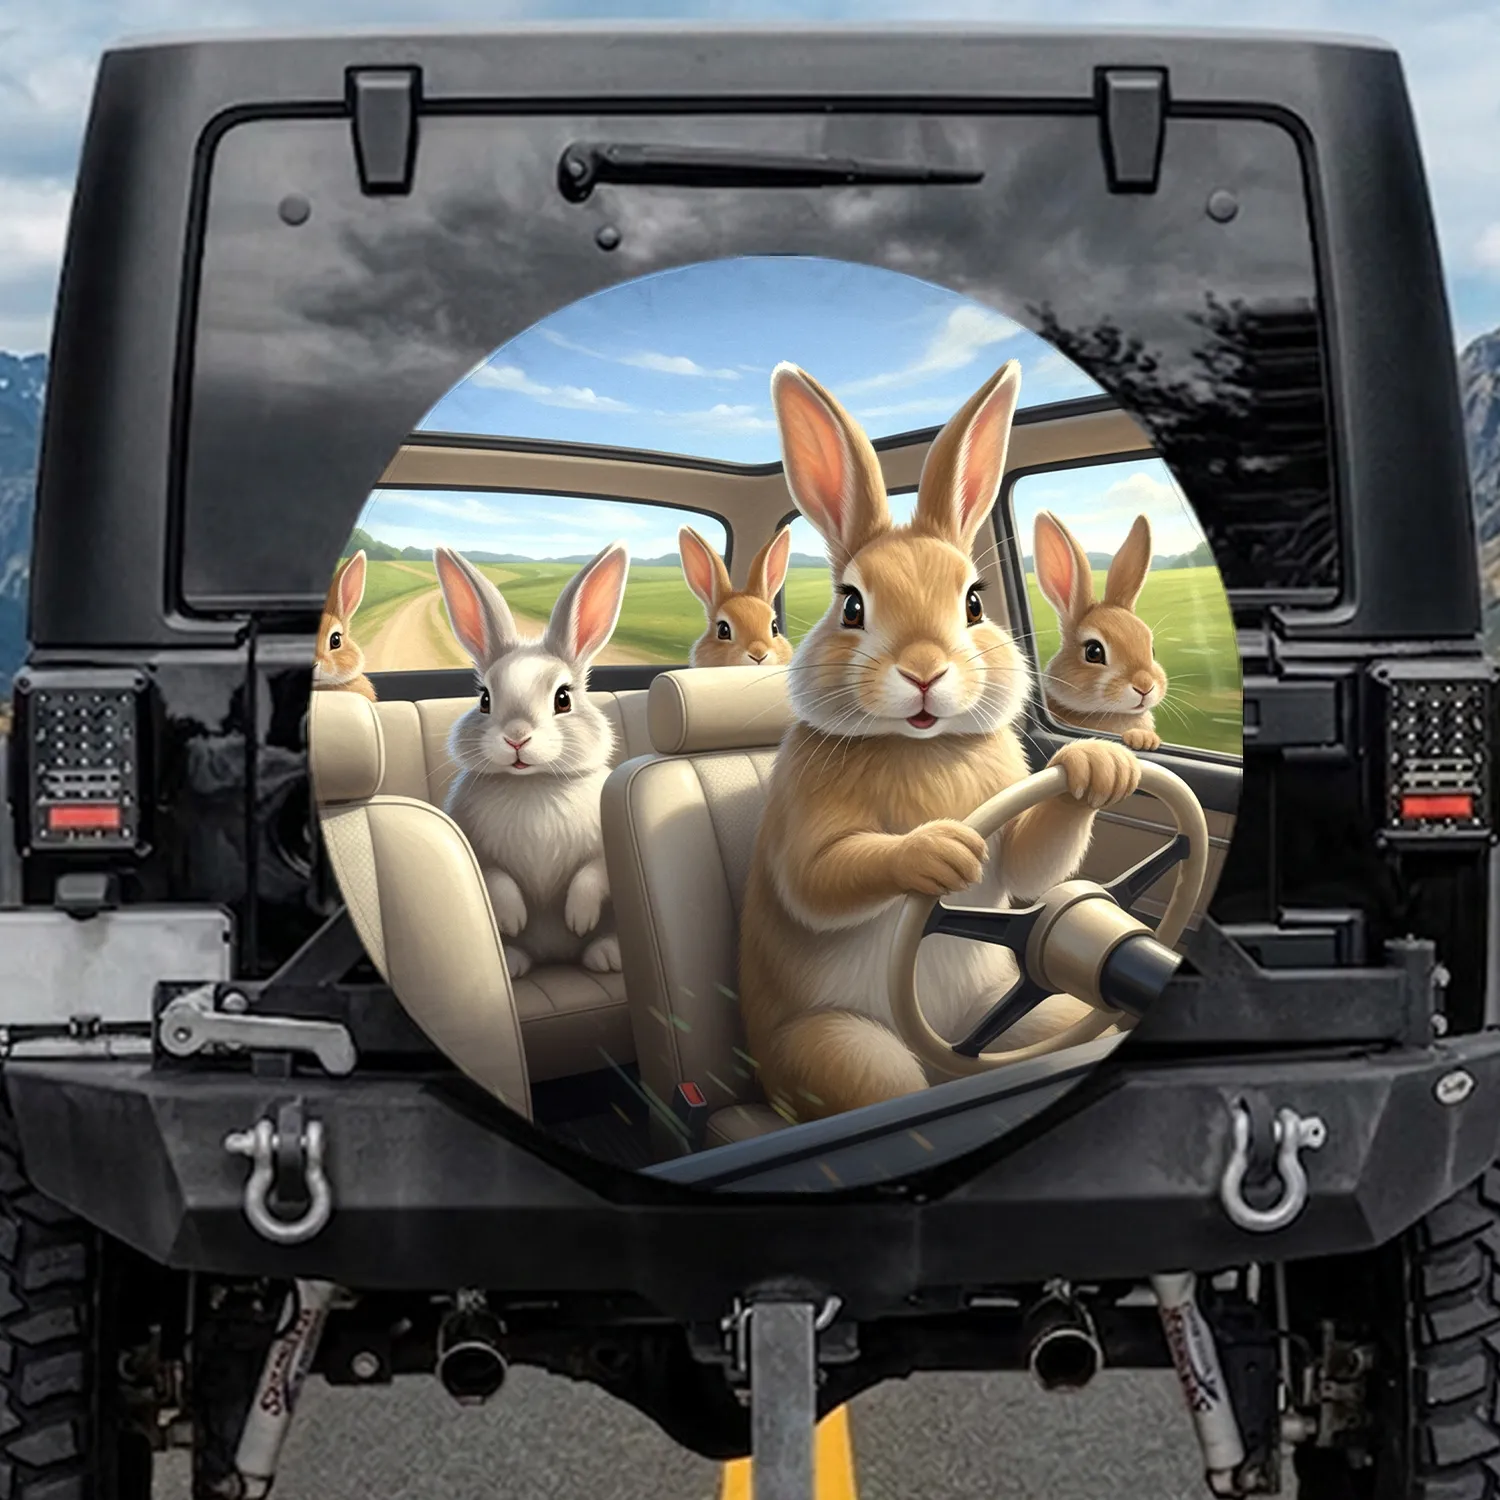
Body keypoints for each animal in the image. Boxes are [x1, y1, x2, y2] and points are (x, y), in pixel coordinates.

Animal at [434, 541, 630, 980]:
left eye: (563, 698)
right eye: (485, 699)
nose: (516, 738)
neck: (532, 783)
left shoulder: (604, 846)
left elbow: (594, 873)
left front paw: (579, 919)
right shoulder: (476, 847)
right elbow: (495, 878)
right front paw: (513, 919)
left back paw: (606, 955)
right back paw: (514, 961)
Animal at [738, 358, 1143, 1123]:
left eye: (975, 603)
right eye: (852, 606)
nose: (924, 672)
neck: (919, 744)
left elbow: (1031, 868)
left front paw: (1100, 764)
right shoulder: (802, 808)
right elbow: (820, 876)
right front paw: (938, 850)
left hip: (1024, 1014)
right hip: (840, 1052)